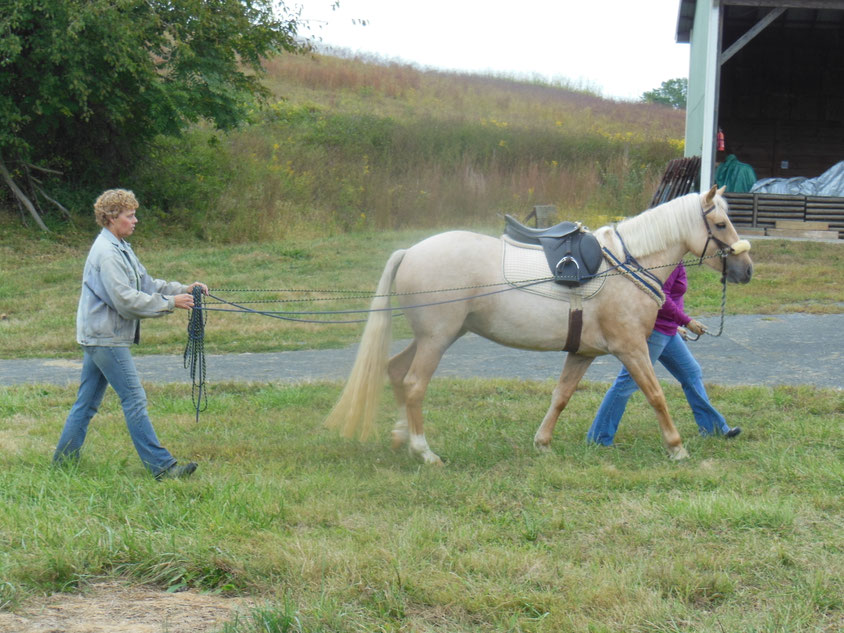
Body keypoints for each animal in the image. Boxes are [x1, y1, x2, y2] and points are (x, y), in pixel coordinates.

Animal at [324, 186, 753, 464]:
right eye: (719, 223)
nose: (746, 269)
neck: (627, 265)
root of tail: (410, 251)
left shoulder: (582, 352)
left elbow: (561, 396)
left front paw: (543, 443)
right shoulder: (631, 348)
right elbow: (656, 395)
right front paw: (677, 447)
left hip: (437, 336)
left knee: (396, 371)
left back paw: (401, 438)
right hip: (436, 339)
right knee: (414, 384)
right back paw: (424, 451)